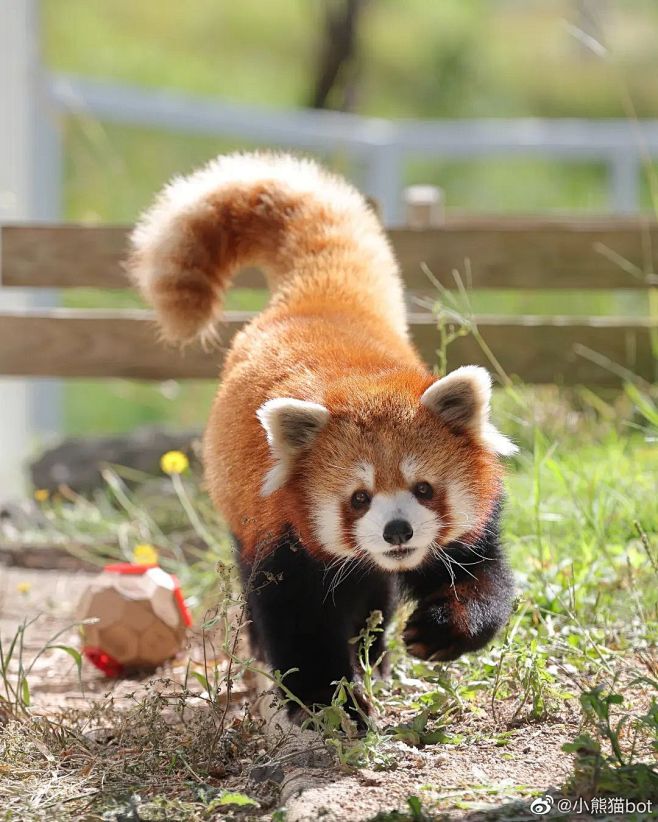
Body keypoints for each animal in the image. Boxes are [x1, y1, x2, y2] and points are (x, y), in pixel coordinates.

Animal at [129, 151, 516, 716]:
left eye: (424, 489)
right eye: (358, 498)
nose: (396, 531)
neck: (361, 381)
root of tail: (315, 302)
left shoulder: (467, 530)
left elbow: (483, 578)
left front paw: (440, 630)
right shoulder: (284, 538)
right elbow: (298, 623)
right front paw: (330, 702)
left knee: (375, 598)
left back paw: (376, 655)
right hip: (235, 505)